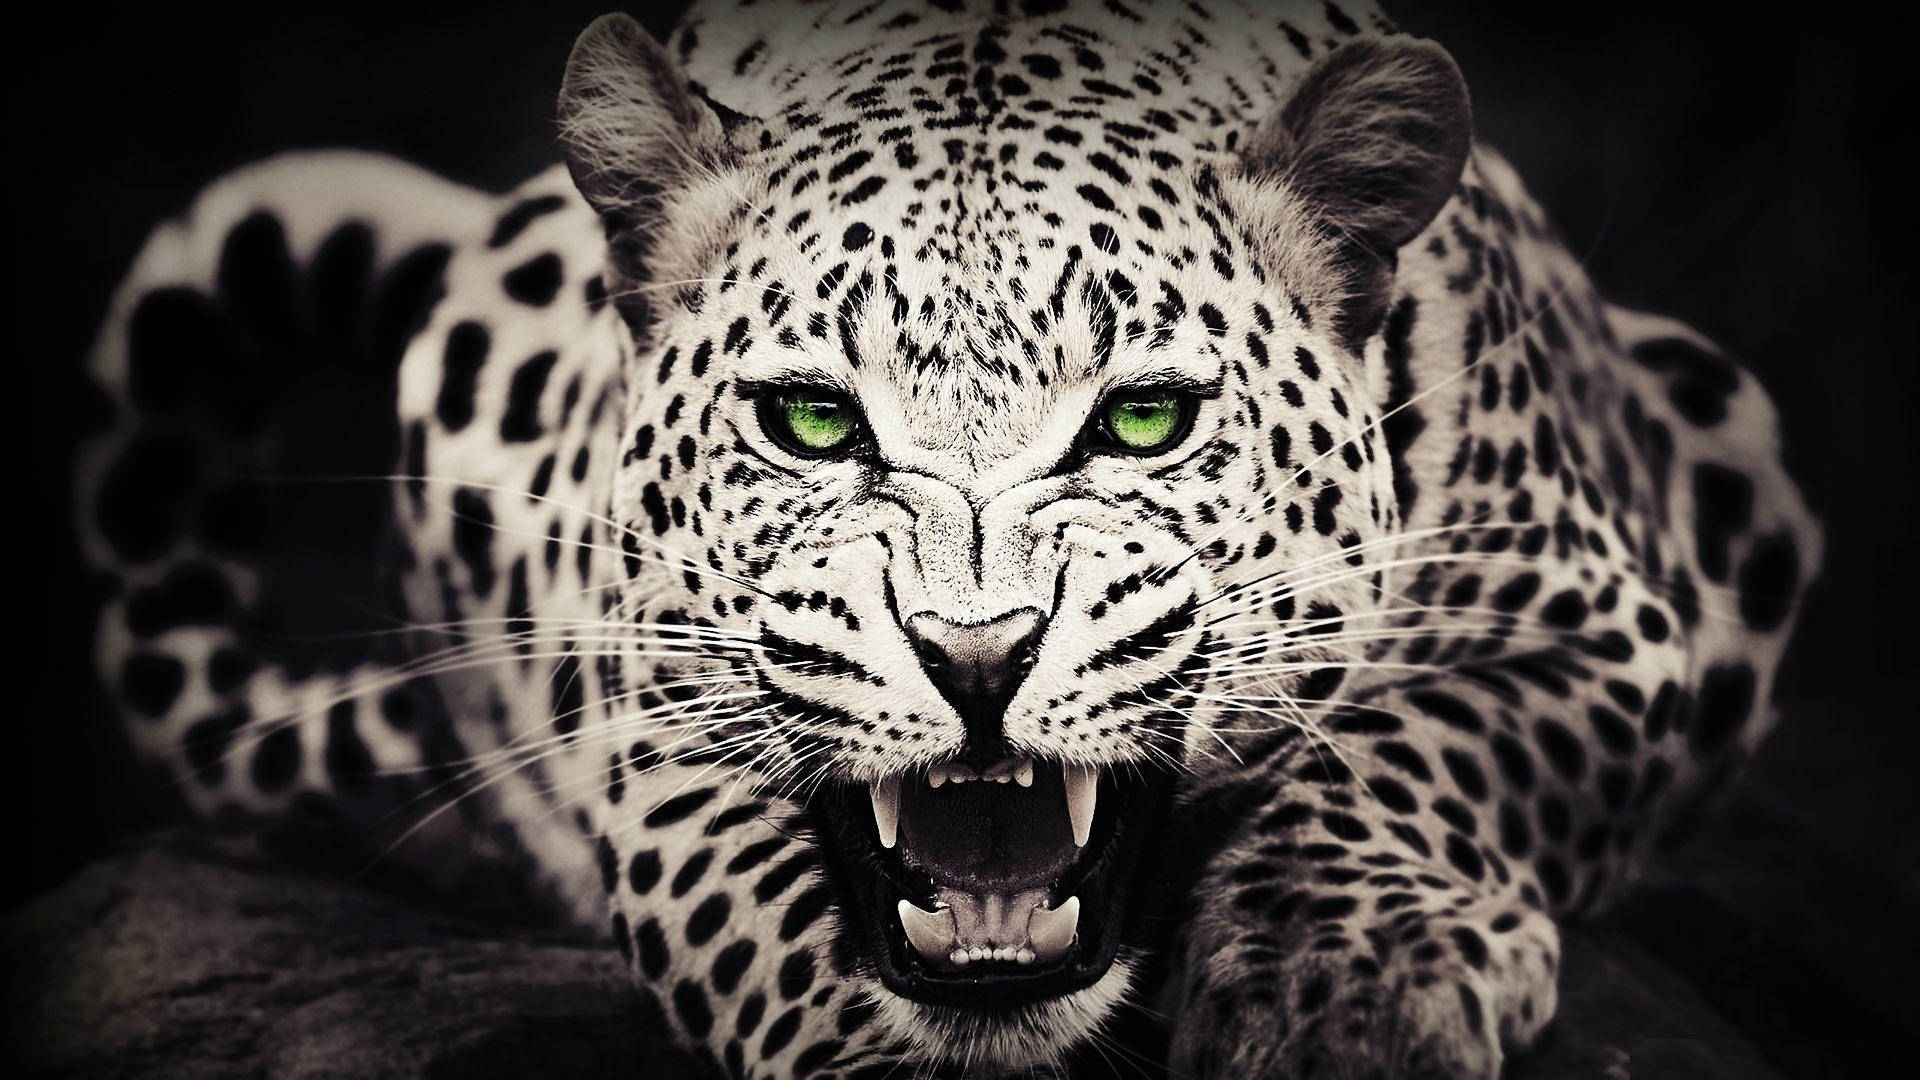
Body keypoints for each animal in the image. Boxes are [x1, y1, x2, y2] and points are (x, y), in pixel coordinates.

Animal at [76, 1, 1821, 1076]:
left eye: (1141, 421)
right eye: (811, 421)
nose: (975, 659)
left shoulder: (1608, 621)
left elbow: (1427, 745)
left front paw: (1352, 987)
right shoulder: (649, 708)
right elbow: (755, 912)